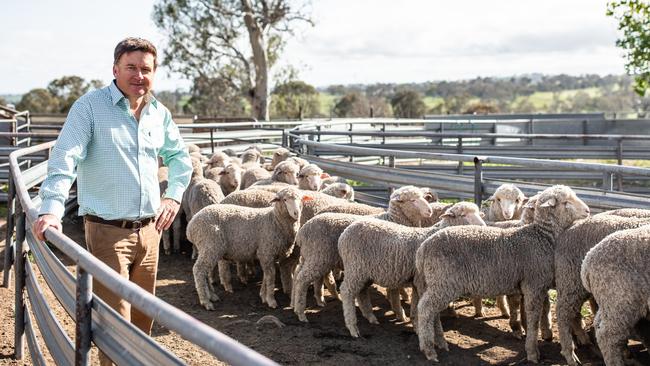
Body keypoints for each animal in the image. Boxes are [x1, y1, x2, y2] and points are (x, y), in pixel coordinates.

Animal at [294, 186, 436, 320]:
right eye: (412, 200)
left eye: (425, 197)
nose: (430, 211)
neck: (393, 219)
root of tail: (303, 231)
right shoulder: (394, 261)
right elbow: (394, 290)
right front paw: (400, 310)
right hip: (319, 256)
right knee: (303, 278)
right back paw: (302, 311)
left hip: (314, 257)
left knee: (304, 274)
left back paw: (310, 302)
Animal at [336, 200, 484, 338]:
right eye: (463, 215)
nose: (483, 226)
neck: (431, 235)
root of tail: (345, 233)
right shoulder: (421, 281)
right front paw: (419, 328)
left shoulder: (416, 282)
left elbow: (415, 307)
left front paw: (415, 325)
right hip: (355, 268)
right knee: (346, 291)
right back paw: (352, 327)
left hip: (365, 272)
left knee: (362, 292)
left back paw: (371, 318)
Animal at [412, 186, 588, 364]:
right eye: (566, 202)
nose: (588, 211)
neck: (541, 237)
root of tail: (423, 249)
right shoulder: (534, 285)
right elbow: (533, 318)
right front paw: (532, 352)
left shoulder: (531, 286)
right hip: (444, 283)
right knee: (425, 308)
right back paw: (428, 349)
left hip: (436, 283)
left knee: (432, 311)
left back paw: (439, 341)